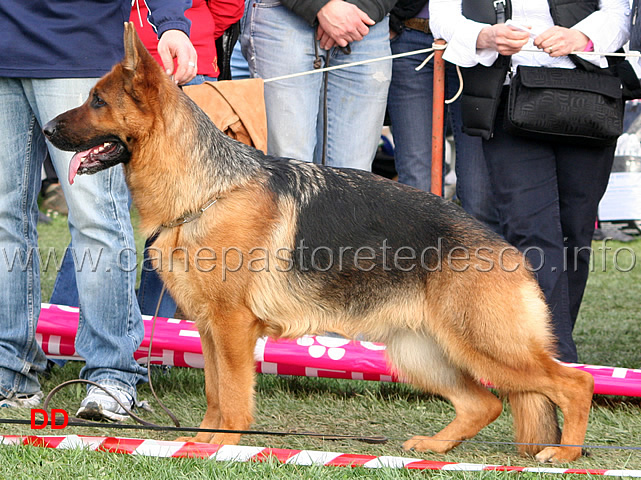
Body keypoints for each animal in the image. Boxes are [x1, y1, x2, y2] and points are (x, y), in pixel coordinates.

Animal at [45, 22, 592, 462]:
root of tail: (506, 248)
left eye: (97, 101)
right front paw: (200, 443)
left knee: (575, 382)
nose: (47, 128)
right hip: (422, 354)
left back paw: (563, 455)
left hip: (486, 347)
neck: (205, 190)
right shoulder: (208, 328)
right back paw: (436, 447)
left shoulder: (233, 327)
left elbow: (234, 398)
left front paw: (222, 446)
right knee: (486, 402)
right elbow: (215, 393)